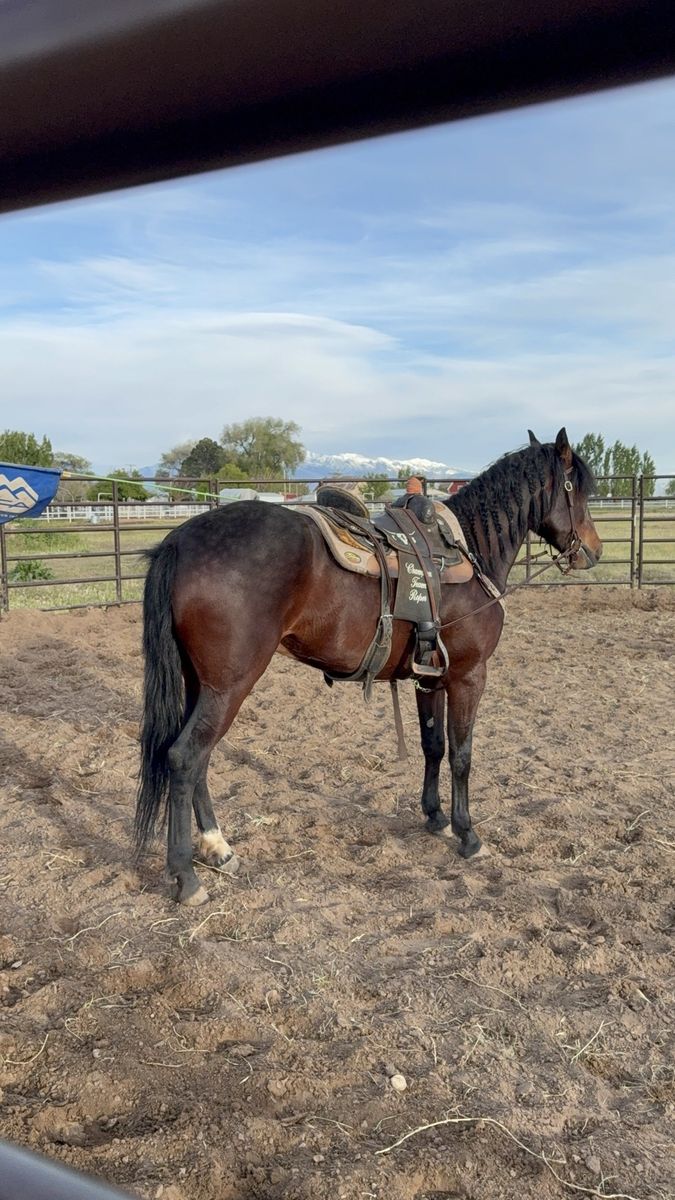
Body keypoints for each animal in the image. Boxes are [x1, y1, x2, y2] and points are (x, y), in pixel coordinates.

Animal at [135, 427, 602, 905]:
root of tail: (180, 540)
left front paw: (434, 817)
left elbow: (433, 746)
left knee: (199, 760)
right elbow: (462, 755)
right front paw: (467, 834)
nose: (593, 551)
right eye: (581, 491)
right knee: (185, 758)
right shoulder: (468, 676)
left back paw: (218, 848)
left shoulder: (428, 680)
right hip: (228, 687)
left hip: (203, 685)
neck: (471, 551)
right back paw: (187, 876)